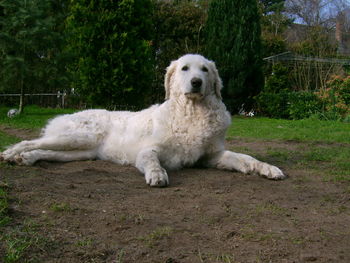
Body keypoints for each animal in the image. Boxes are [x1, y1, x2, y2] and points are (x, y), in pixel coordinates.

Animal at [0, 54, 284, 188]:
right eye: (185, 69)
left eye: (204, 70)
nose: (196, 82)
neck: (192, 114)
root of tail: (65, 114)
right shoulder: (148, 150)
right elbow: (151, 161)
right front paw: (157, 175)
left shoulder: (211, 156)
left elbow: (245, 158)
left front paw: (267, 168)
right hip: (79, 137)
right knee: (28, 141)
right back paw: (11, 153)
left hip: (82, 151)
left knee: (44, 151)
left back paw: (26, 159)